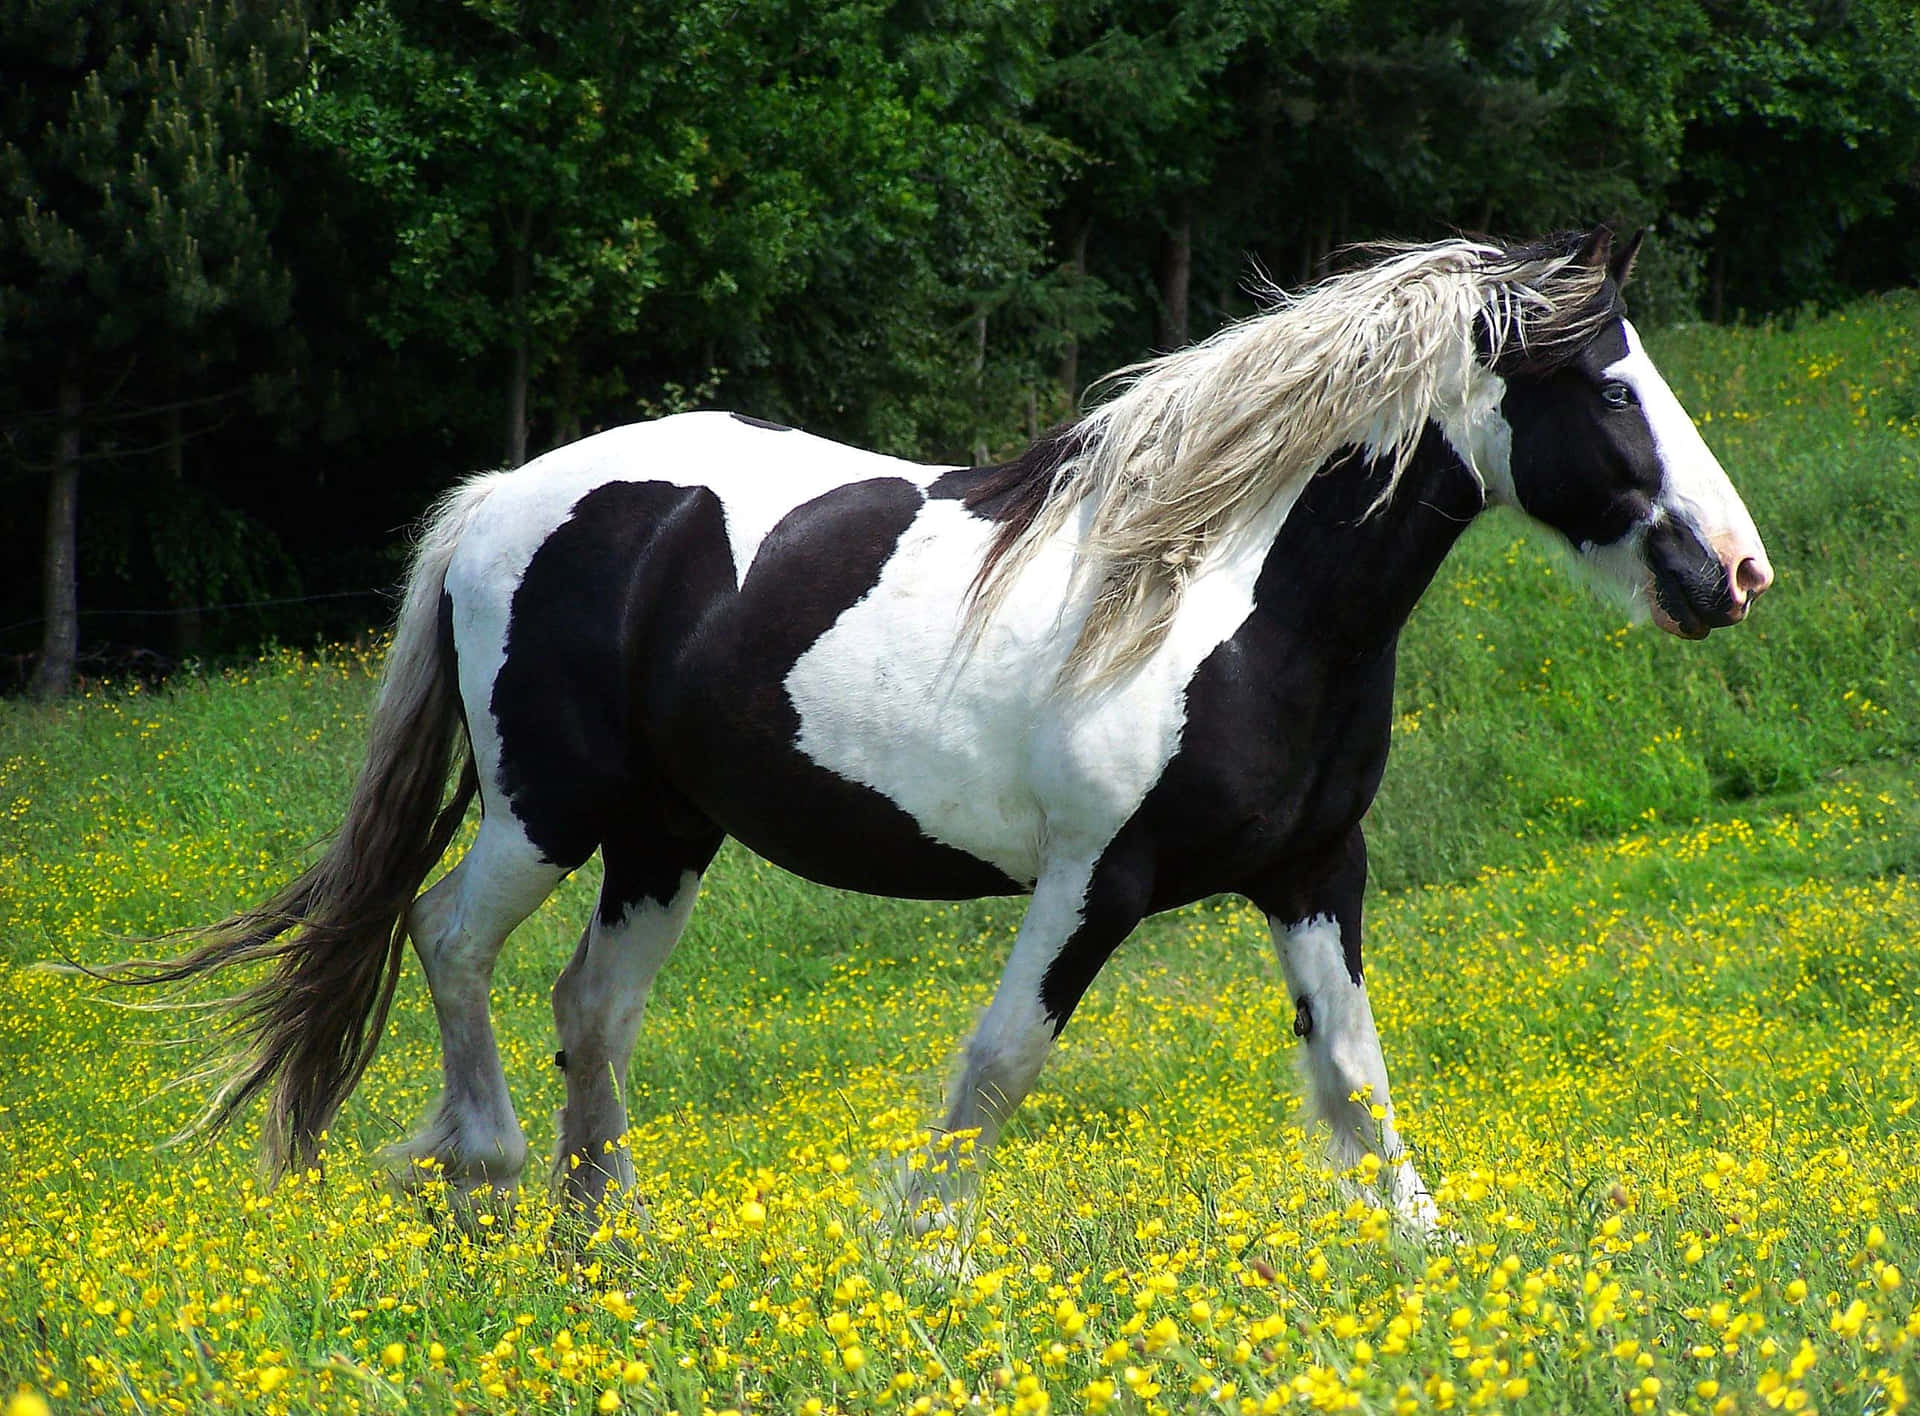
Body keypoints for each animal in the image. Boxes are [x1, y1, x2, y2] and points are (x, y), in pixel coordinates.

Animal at [112, 226, 1770, 1230]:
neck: (1223, 594)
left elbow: (1358, 1087)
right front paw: (920, 1258)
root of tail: (497, 503)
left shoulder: (1313, 874)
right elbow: (996, 1073)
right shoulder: (1092, 885)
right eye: (1608, 391)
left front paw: (1432, 1268)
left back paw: (609, 1247)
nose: (1735, 573)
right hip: (547, 808)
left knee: (595, 1006)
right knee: (453, 947)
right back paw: (490, 1181)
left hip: (667, 834)